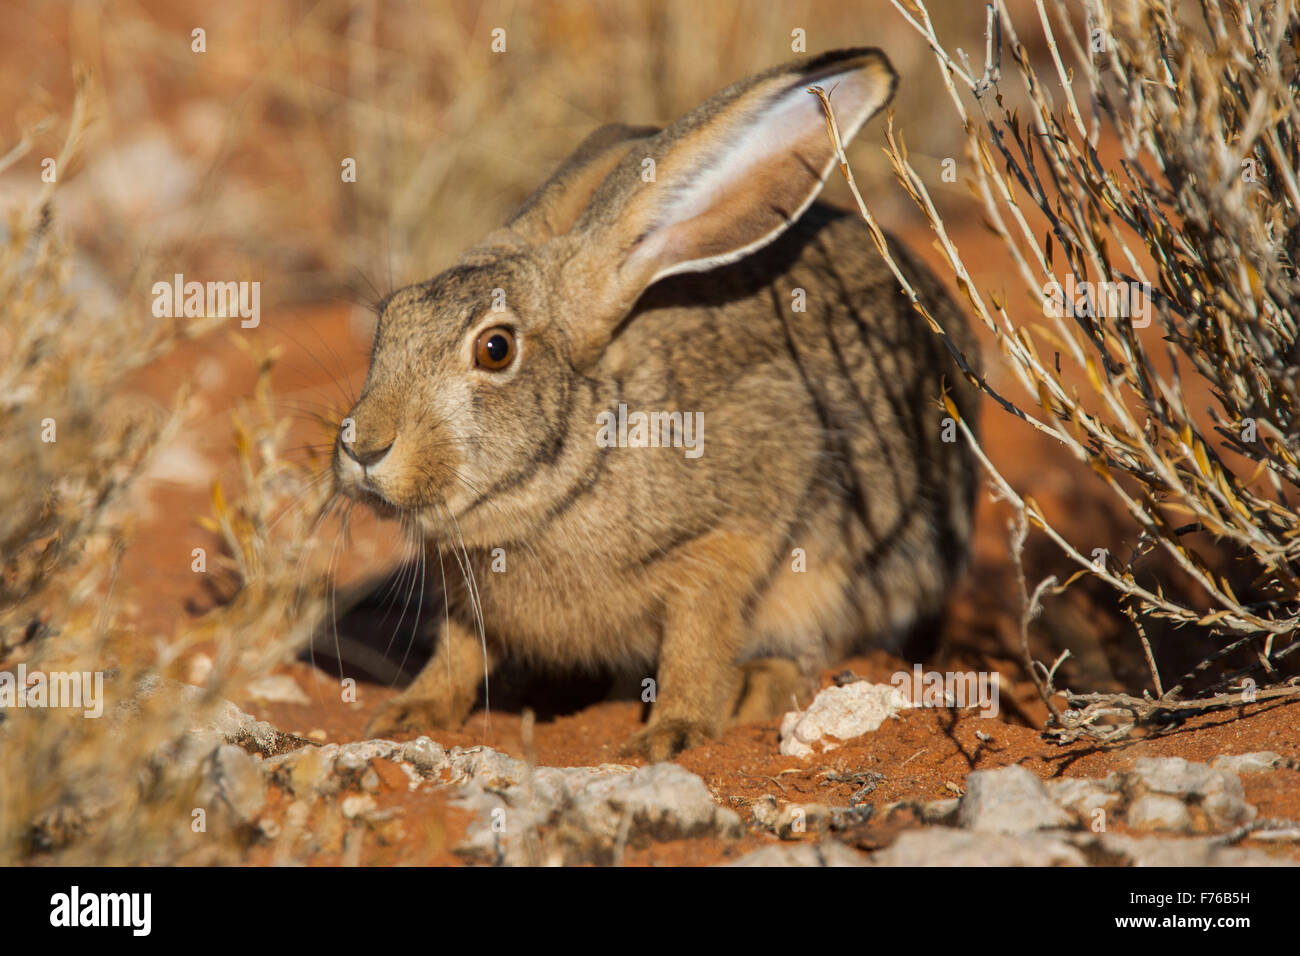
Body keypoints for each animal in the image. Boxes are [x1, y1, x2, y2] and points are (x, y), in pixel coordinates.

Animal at [334, 47, 980, 761]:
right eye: (390, 318)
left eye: (496, 349)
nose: (364, 448)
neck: (577, 467)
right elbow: (457, 649)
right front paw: (406, 714)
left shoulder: (734, 532)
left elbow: (697, 638)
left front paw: (670, 735)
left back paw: (753, 688)